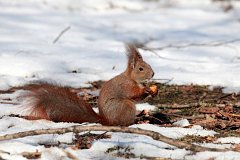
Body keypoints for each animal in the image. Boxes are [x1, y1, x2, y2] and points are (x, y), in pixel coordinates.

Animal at [22, 44, 154, 126]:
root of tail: (105, 121)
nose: (153, 74)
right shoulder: (125, 86)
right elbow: (133, 94)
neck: (131, 78)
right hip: (126, 106)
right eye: (141, 69)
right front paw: (146, 90)